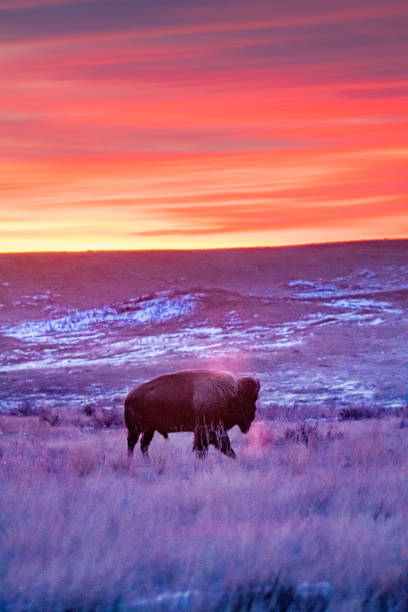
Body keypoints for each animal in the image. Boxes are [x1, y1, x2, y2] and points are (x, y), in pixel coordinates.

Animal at [122, 368, 260, 460]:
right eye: (250, 399)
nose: (253, 415)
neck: (232, 395)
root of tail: (128, 397)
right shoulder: (210, 431)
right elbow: (216, 447)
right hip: (136, 429)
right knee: (132, 443)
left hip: (149, 430)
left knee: (143, 445)